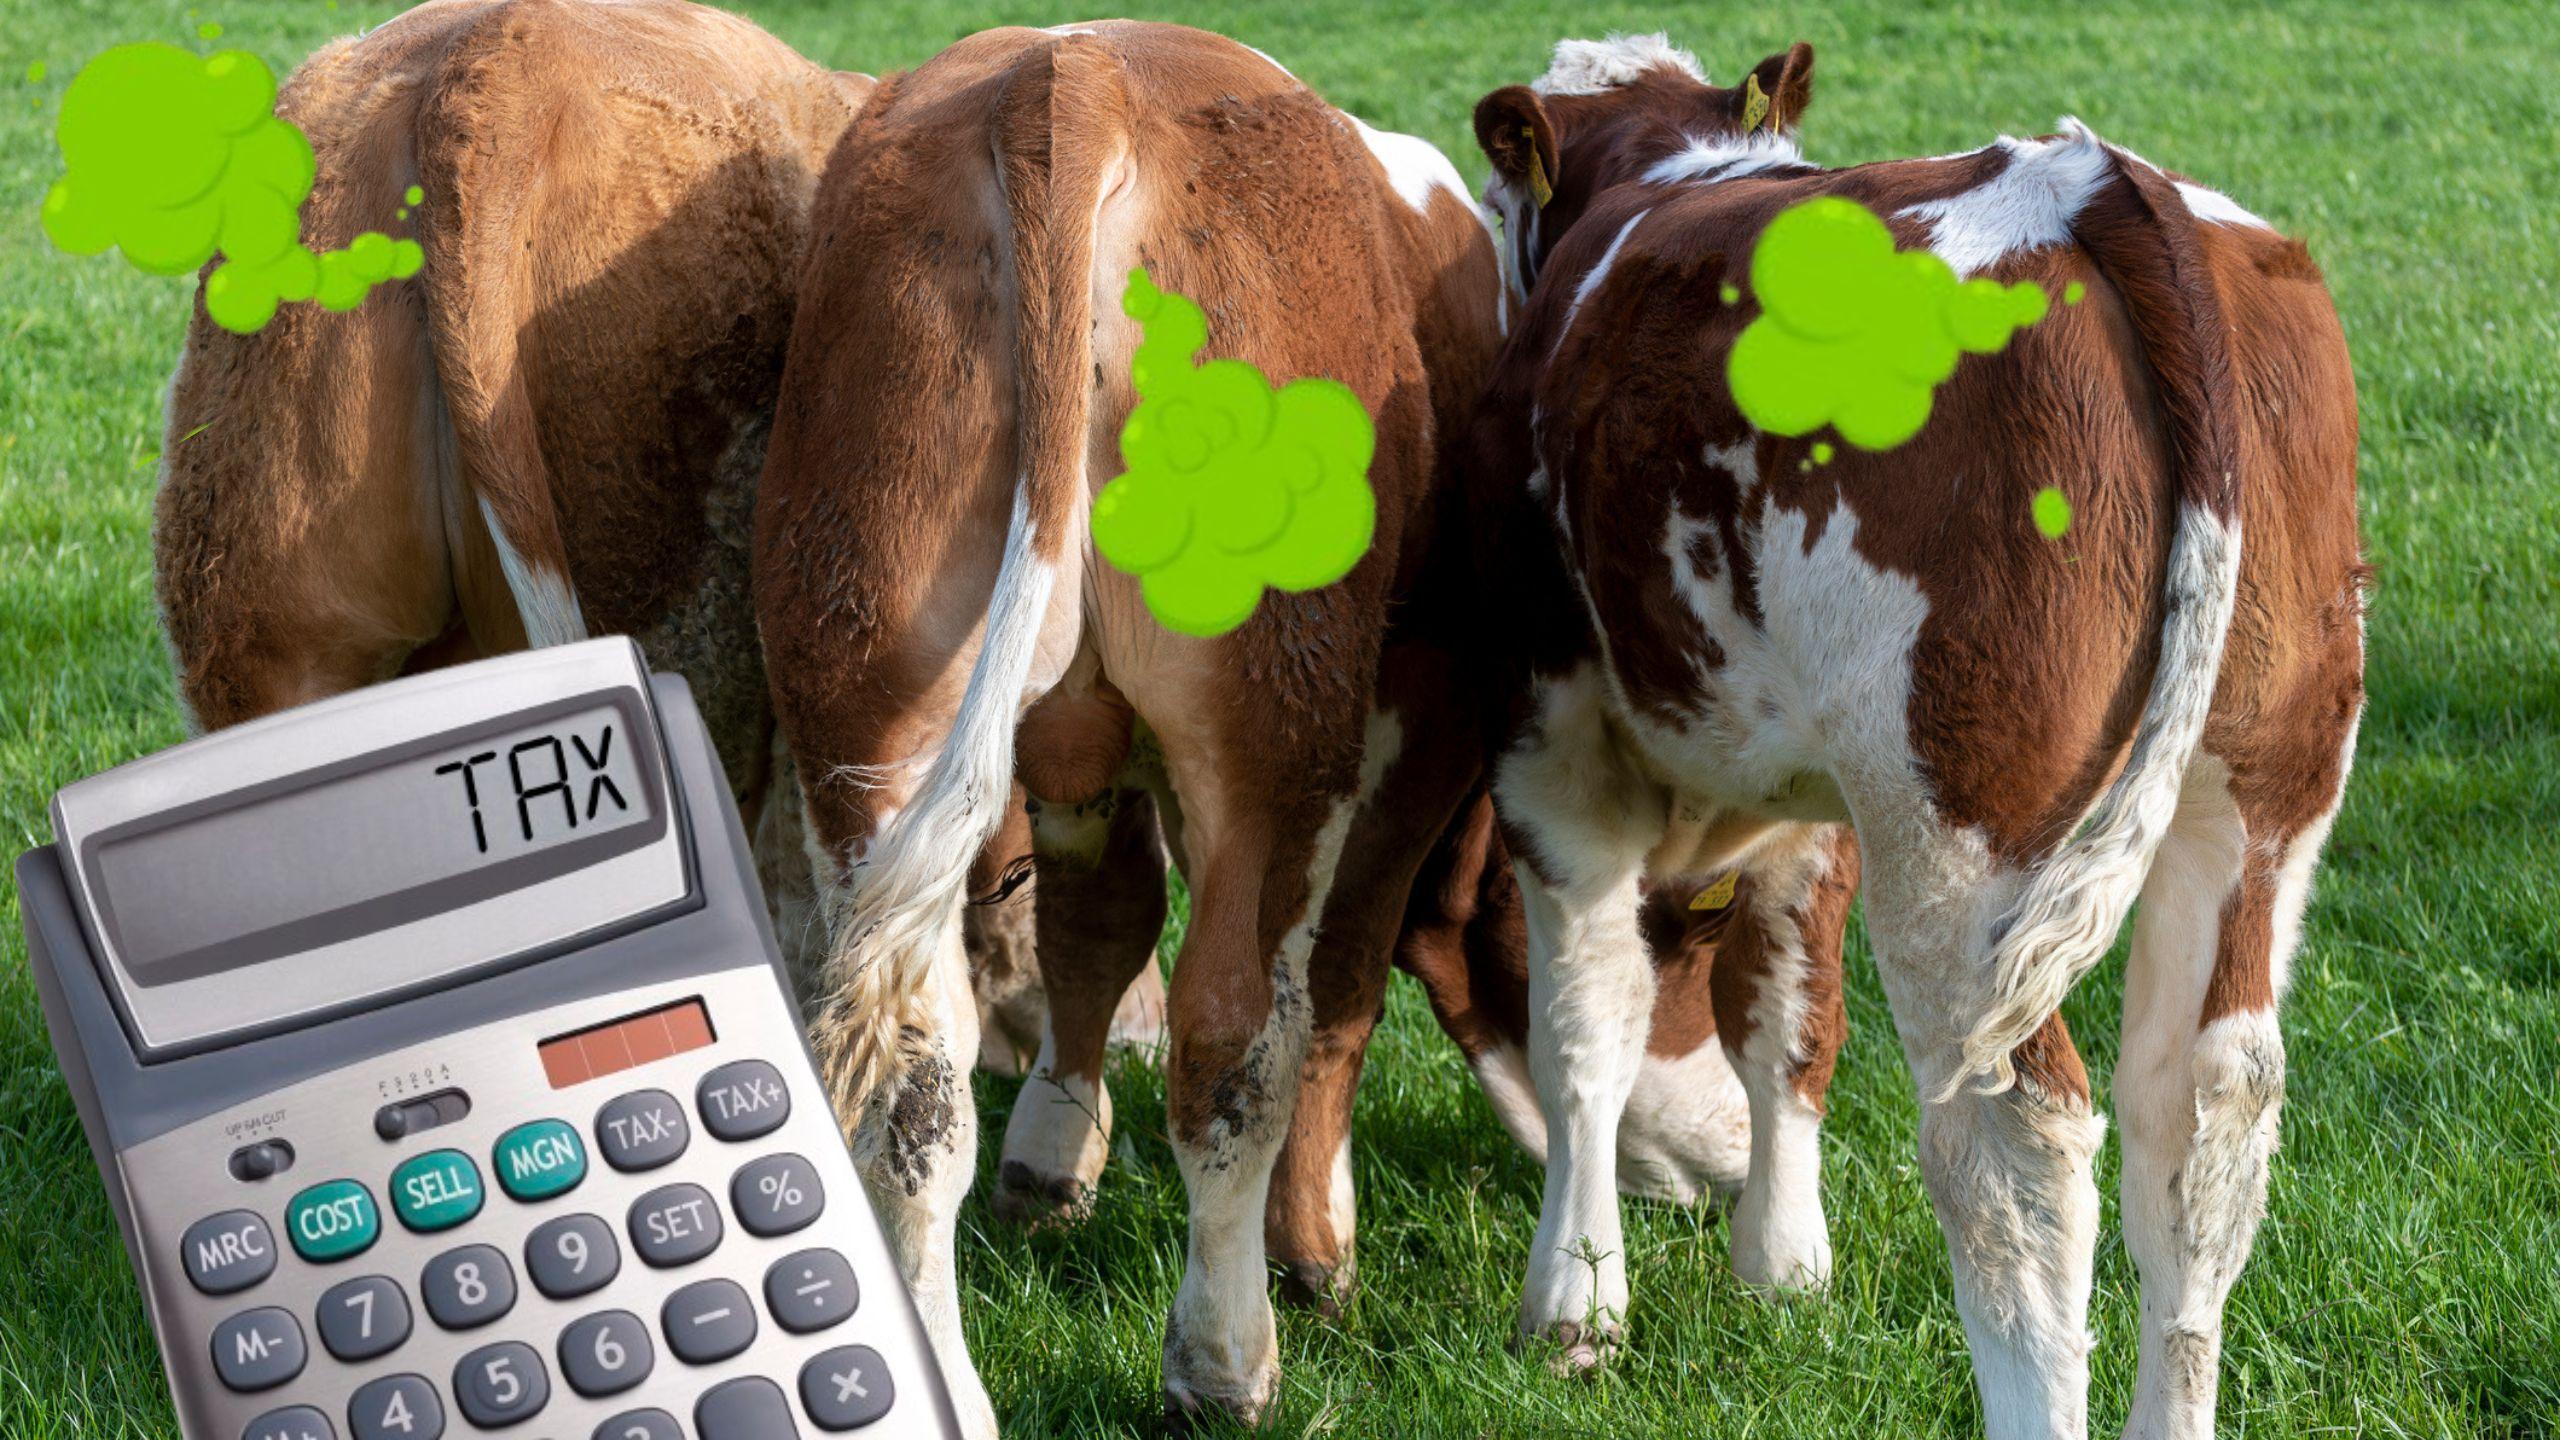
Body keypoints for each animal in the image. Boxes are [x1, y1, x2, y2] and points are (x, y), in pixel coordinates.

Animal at [1464, 30, 2355, 1434]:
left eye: (1500, 206)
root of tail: (2093, 180)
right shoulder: (1815, 792)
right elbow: (1785, 1020)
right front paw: (1779, 1269)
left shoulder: (1548, 746)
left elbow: (1583, 1033)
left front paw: (1576, 1304)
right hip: (2256, 797)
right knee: (2203, 1114)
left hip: (1964, 837)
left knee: (2013, 1142)